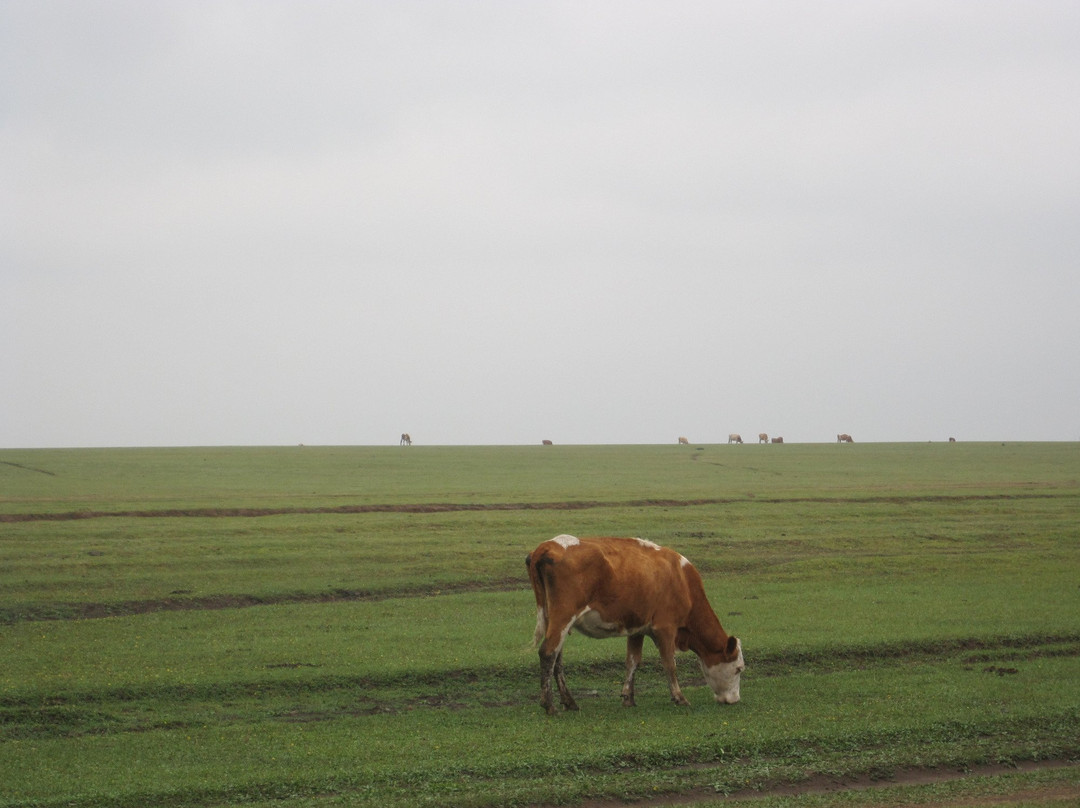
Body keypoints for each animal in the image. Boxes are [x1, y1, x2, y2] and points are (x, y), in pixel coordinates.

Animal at [522, 535, 743, 712]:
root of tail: (547, 546)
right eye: (739, 669)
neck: (682, 581)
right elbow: (669, 663)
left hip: (554, 619)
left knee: (557, 659)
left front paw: (628, 698)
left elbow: (633, 661)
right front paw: (679, 697)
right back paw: (549, 705)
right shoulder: (665, 628)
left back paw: (569, 702)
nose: (735, 700)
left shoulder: (638, 628)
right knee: (548, 653)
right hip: (563, 616)